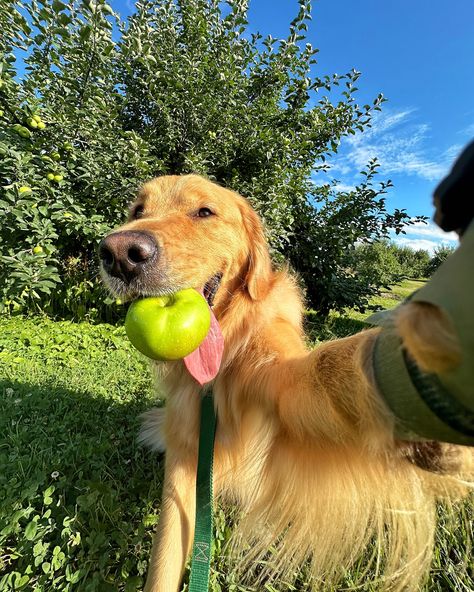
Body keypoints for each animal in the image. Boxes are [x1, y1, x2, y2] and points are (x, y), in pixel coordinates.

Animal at [99, 173, 470, 588]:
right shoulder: (185, 448)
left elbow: (327, 365)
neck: (222, 360)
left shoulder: (280, 379)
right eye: (137, 211)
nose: (119, 254)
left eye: (204, 211)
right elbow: (165, 555)